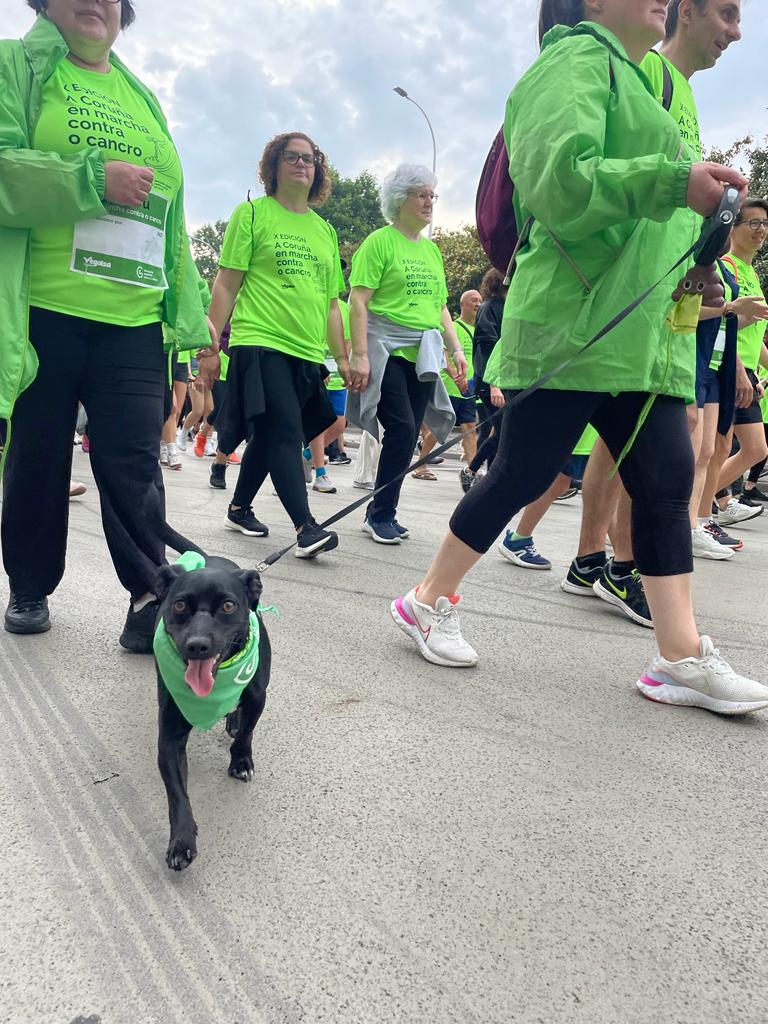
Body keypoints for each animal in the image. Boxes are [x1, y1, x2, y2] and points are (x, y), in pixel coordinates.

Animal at [152, 557, 270, 868]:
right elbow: (177, 794)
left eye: (228, 606)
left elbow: (246, 734)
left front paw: (240, 761)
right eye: (180, 605)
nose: (197, 645)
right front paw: (181, 841)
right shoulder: (170, 738)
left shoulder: (258, 698)